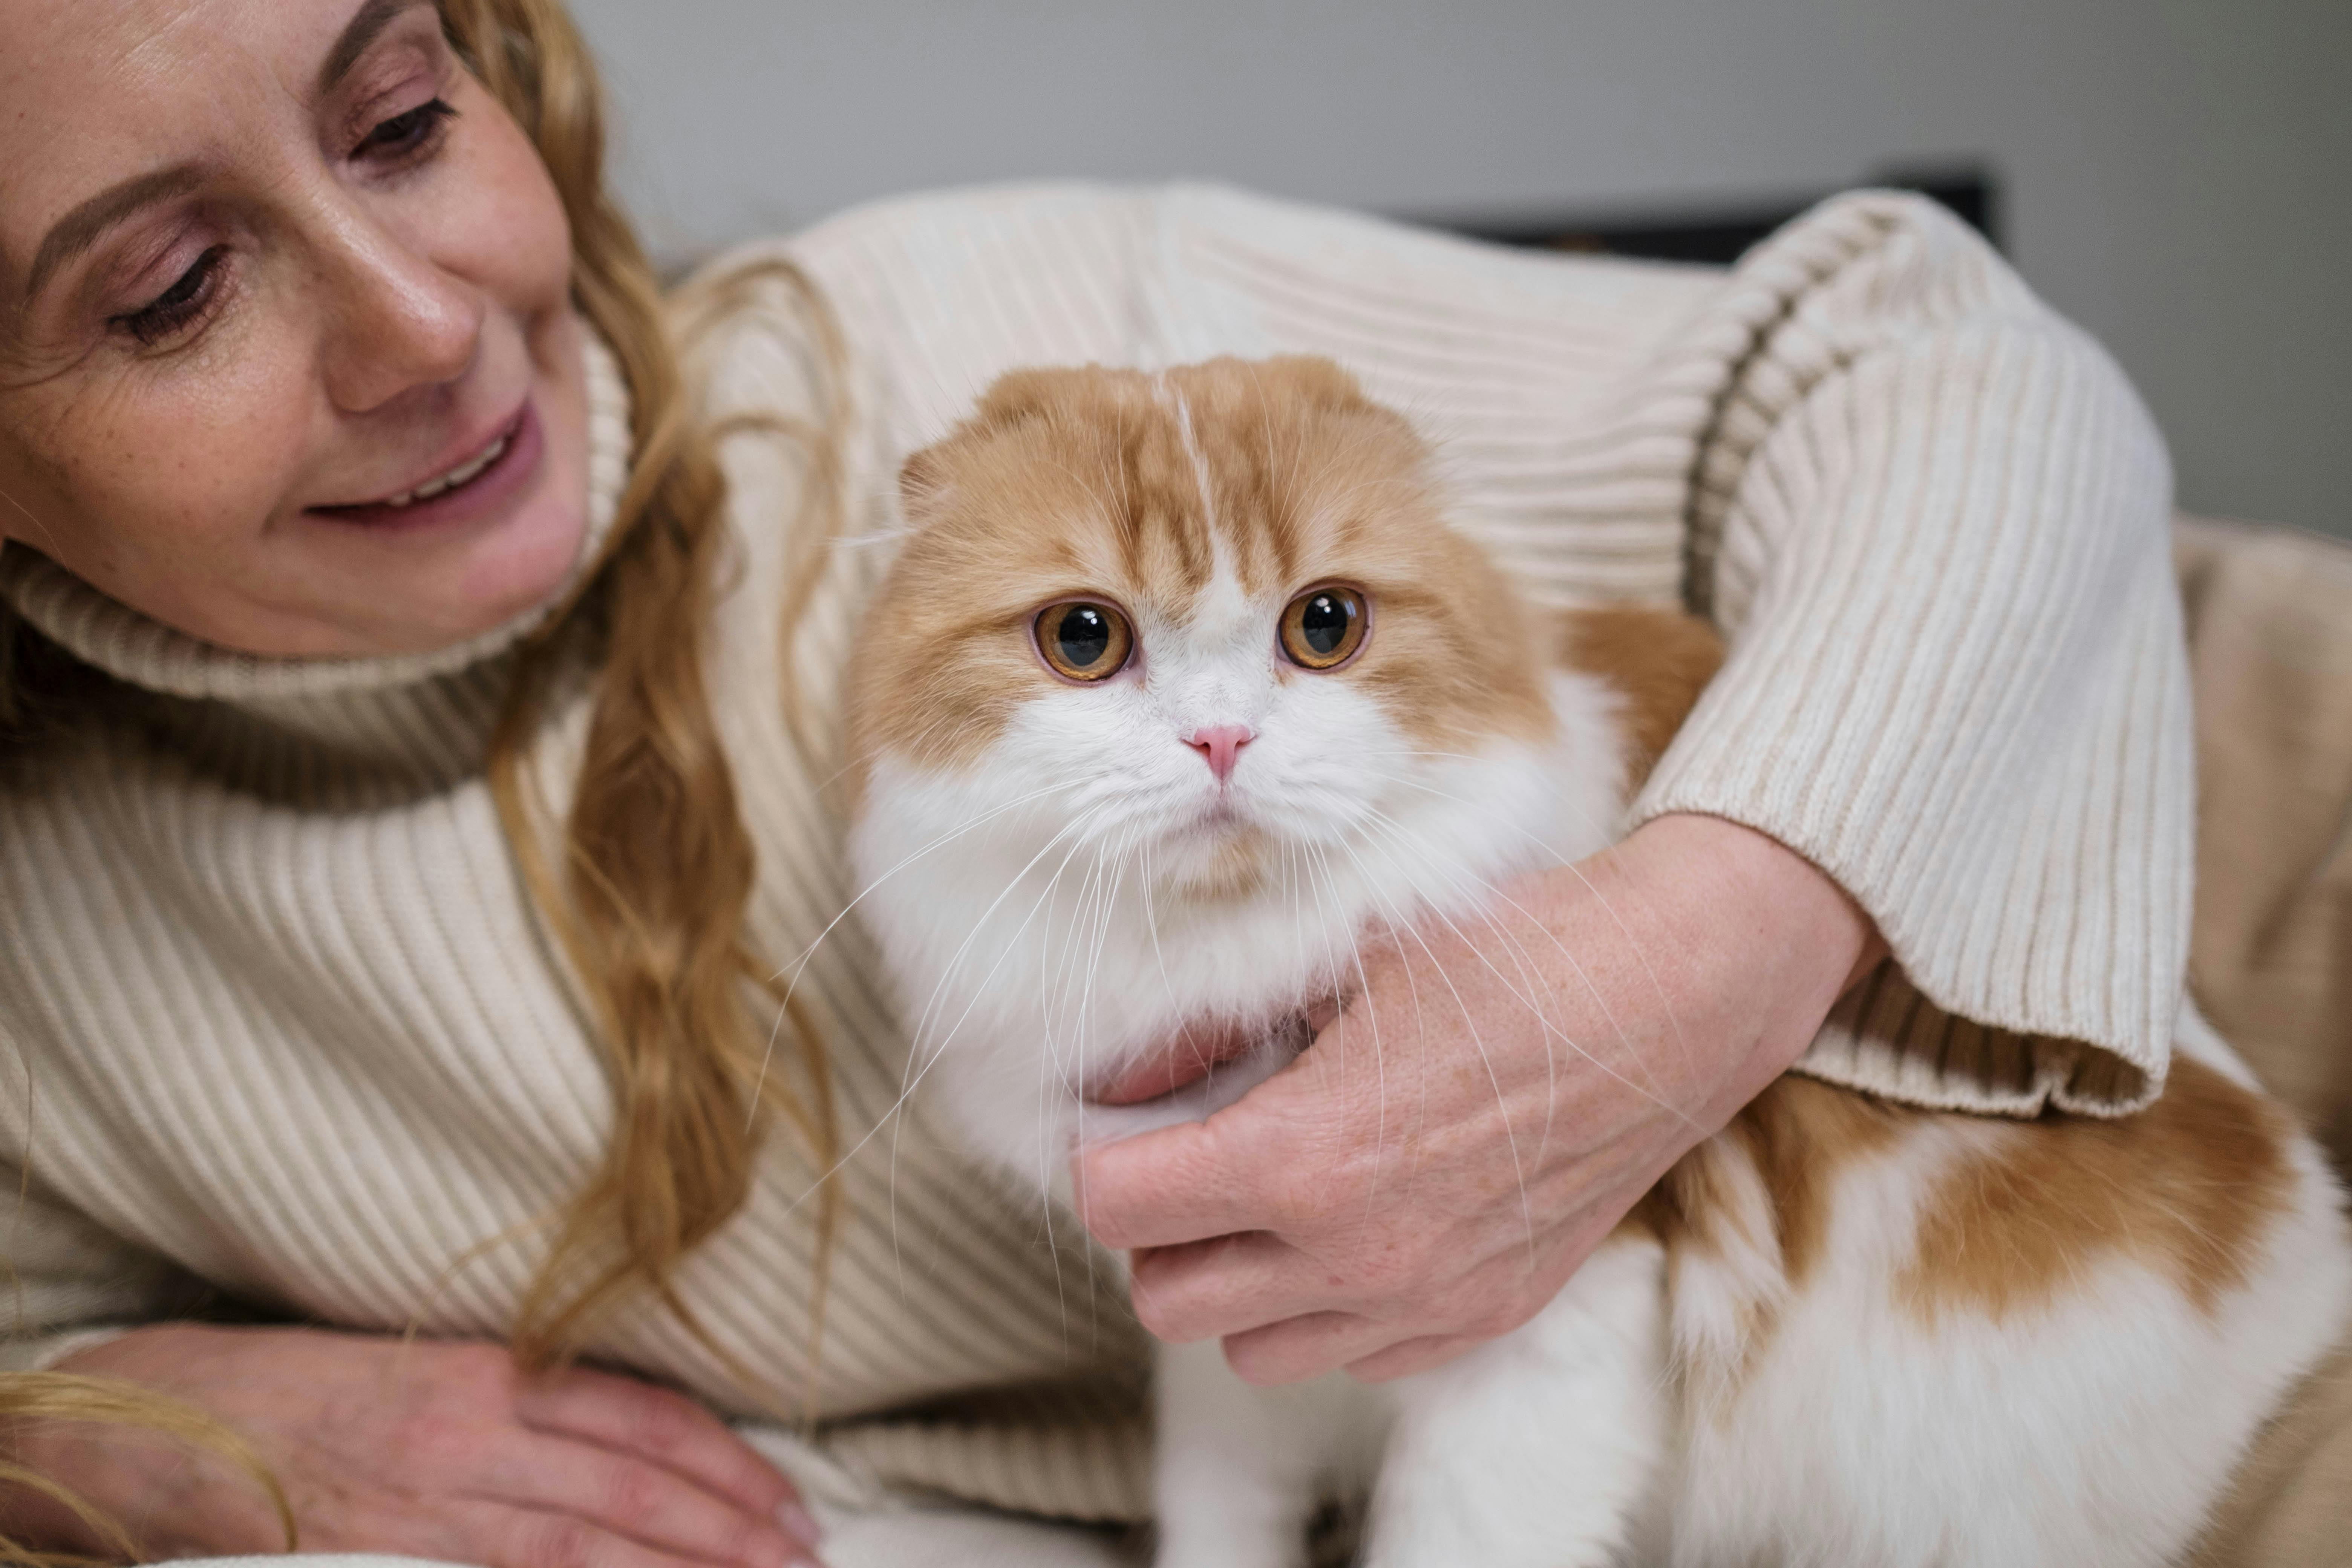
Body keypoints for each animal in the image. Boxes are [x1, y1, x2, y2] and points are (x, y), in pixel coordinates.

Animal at [847, 360, 2352, 1568]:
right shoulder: (1231, 1354)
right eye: (1083, 637)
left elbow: (1451, 1540)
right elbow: (1224, 1527)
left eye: (1324, 626)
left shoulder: (1541, 1340)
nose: (1221, 741)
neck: (1220, 963)